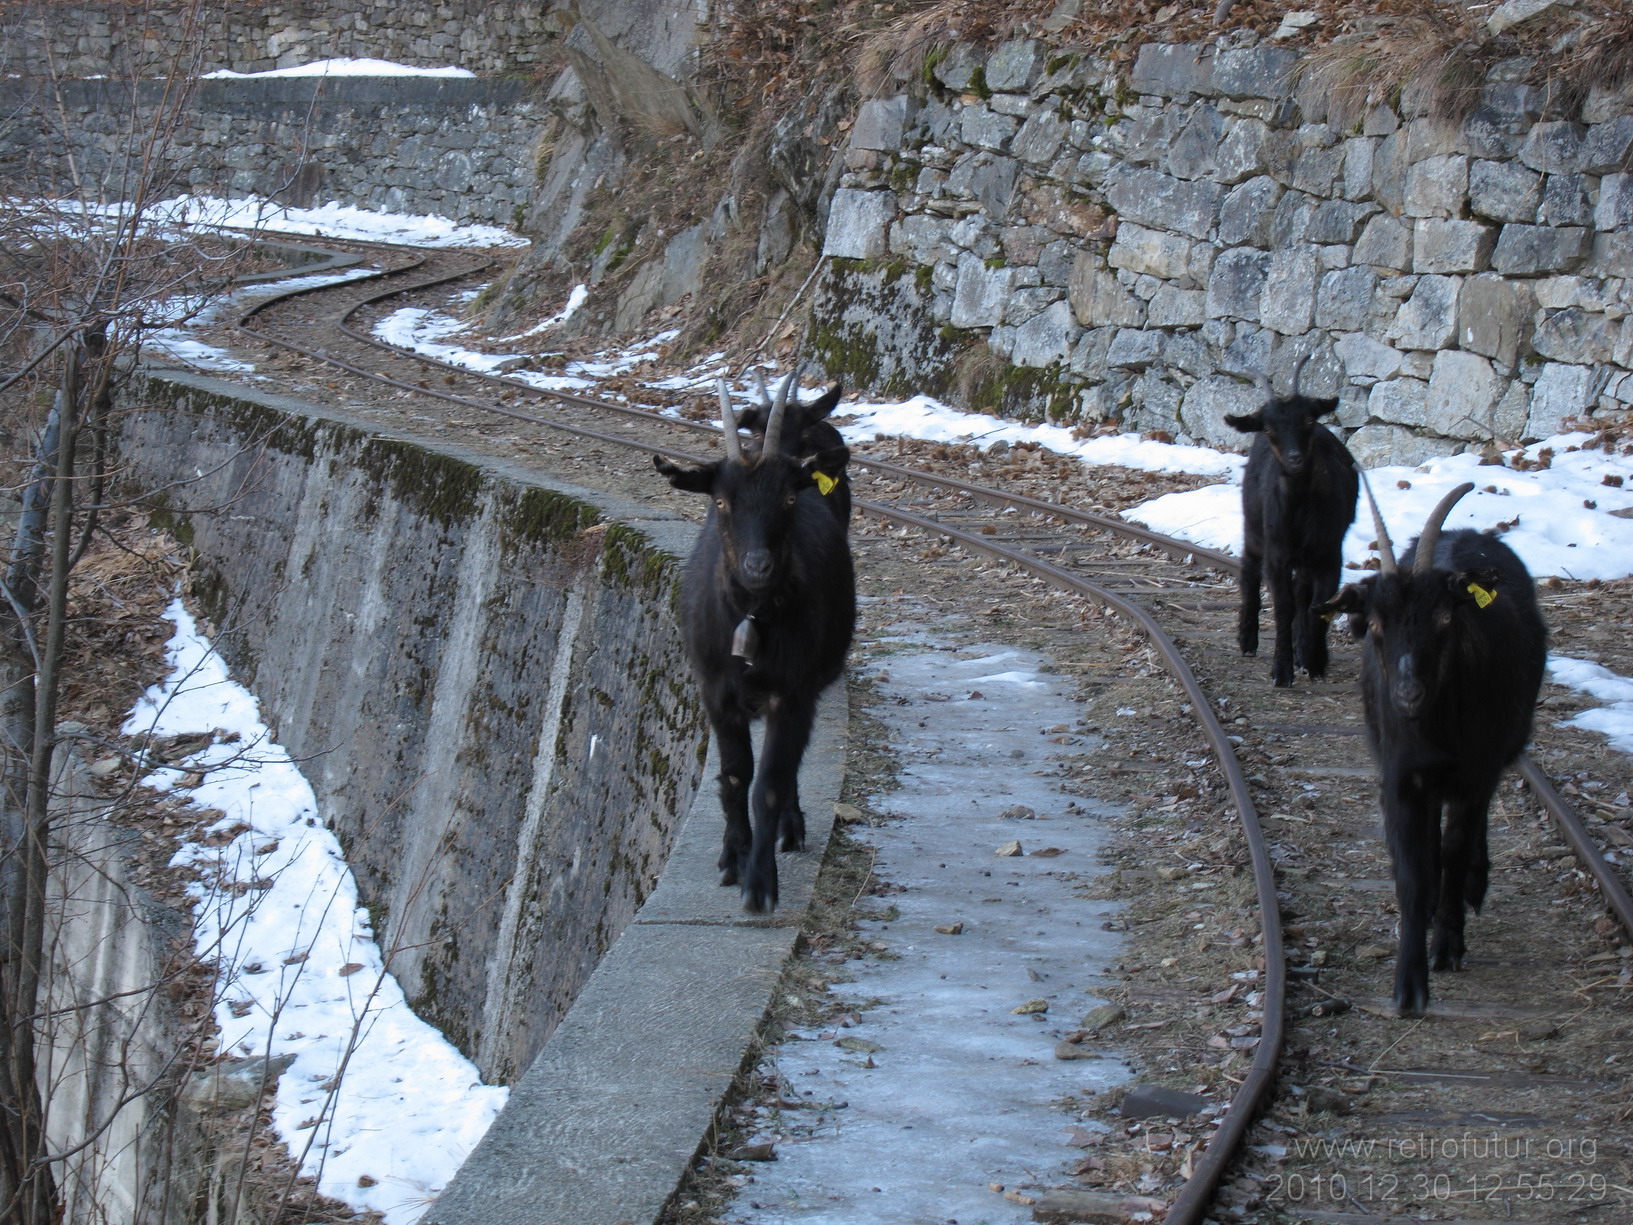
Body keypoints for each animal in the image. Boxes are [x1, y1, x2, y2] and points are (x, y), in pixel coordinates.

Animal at [653, 374, 855, 914]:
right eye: (721, 501)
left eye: (788, 499)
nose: (757, 566)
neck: (751, 618)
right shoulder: (715, 693)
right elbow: (735, 776)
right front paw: (734, 859)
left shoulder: (794, 692)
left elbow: (768, 783)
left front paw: (761, 884)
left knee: (789, 769)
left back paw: (791, 827)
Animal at [1228, 364, 1365, 692]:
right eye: (1268, 428)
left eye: (1308, 419)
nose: (1294, 459)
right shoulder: (1277, 553)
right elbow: (1283, 605)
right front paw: (1281, 671)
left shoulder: (1329, 552)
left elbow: (1319, 603)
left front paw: (1314, 660)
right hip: (1254, 529)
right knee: (1249, 570)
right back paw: (1247, 640)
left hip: (1306, 555)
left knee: (1303, 591)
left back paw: (1303, 650)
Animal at [1319, 480, 1548, 1019]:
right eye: (1375, 623)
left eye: (1445, 618)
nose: (1408, 694)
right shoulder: (1400, 777)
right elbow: (1411, 870)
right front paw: (1409, 984)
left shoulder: (1474, 773)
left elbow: (1457, 847)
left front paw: (1447, 945)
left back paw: (1473, 888)